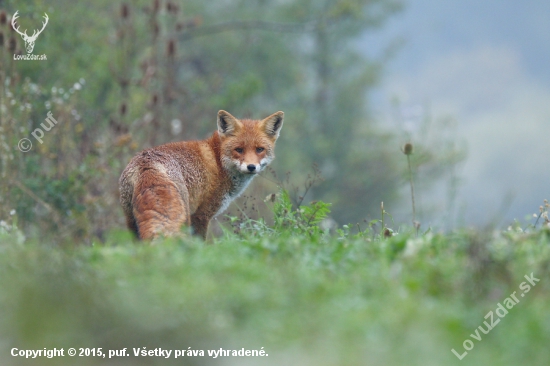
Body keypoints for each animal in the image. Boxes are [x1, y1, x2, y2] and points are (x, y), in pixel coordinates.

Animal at [119, 110, 284, 239]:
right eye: (239, 150)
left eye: (259, 149)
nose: (251, 167)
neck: (219, 161)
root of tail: (147, 164)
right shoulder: (201, 215)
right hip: (184, 218)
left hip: (131, 222)